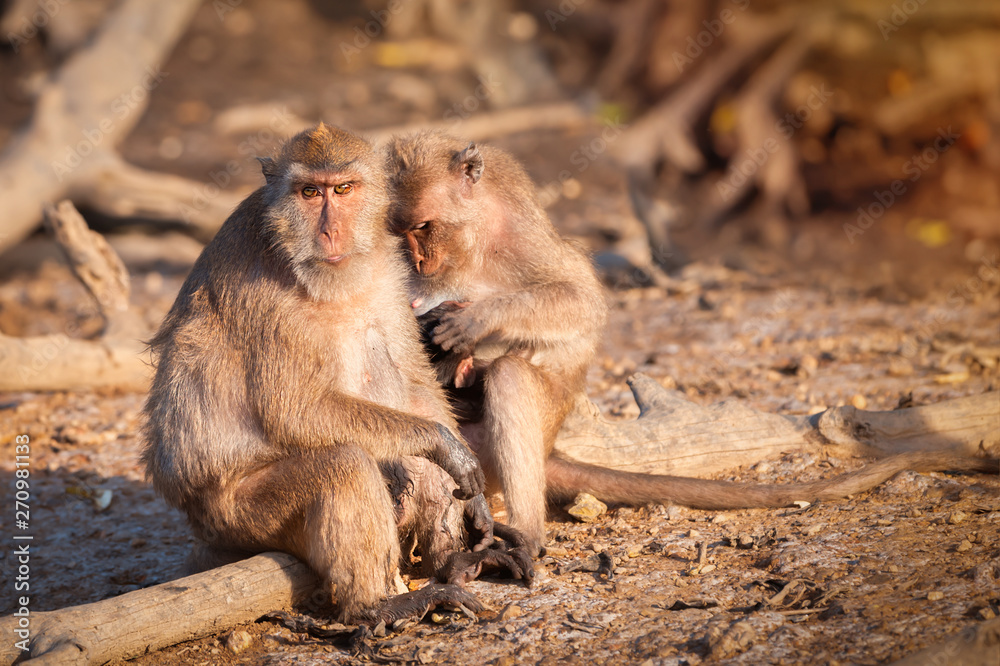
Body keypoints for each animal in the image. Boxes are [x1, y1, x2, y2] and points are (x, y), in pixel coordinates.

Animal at [142, 124, 531, 625]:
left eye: (343, 189)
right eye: (309, 192)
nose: (329, 232)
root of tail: (200, 525)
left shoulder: (391, 272)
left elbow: (415, 385)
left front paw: (470, 494)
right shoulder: (266, 298)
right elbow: (296, 412)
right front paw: (446, 446)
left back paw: (451, 562)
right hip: (235, 518)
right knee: (341, 466)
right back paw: (375, 606)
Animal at [385, 130, 999, 557]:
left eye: (425, 228)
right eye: (401, 232)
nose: (418, 262)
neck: (473, 241)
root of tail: (550, 443)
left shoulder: (522, 238)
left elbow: (581, 300)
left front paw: (474, 321)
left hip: (520, 433)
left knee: (513, 376)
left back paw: (529, 533)